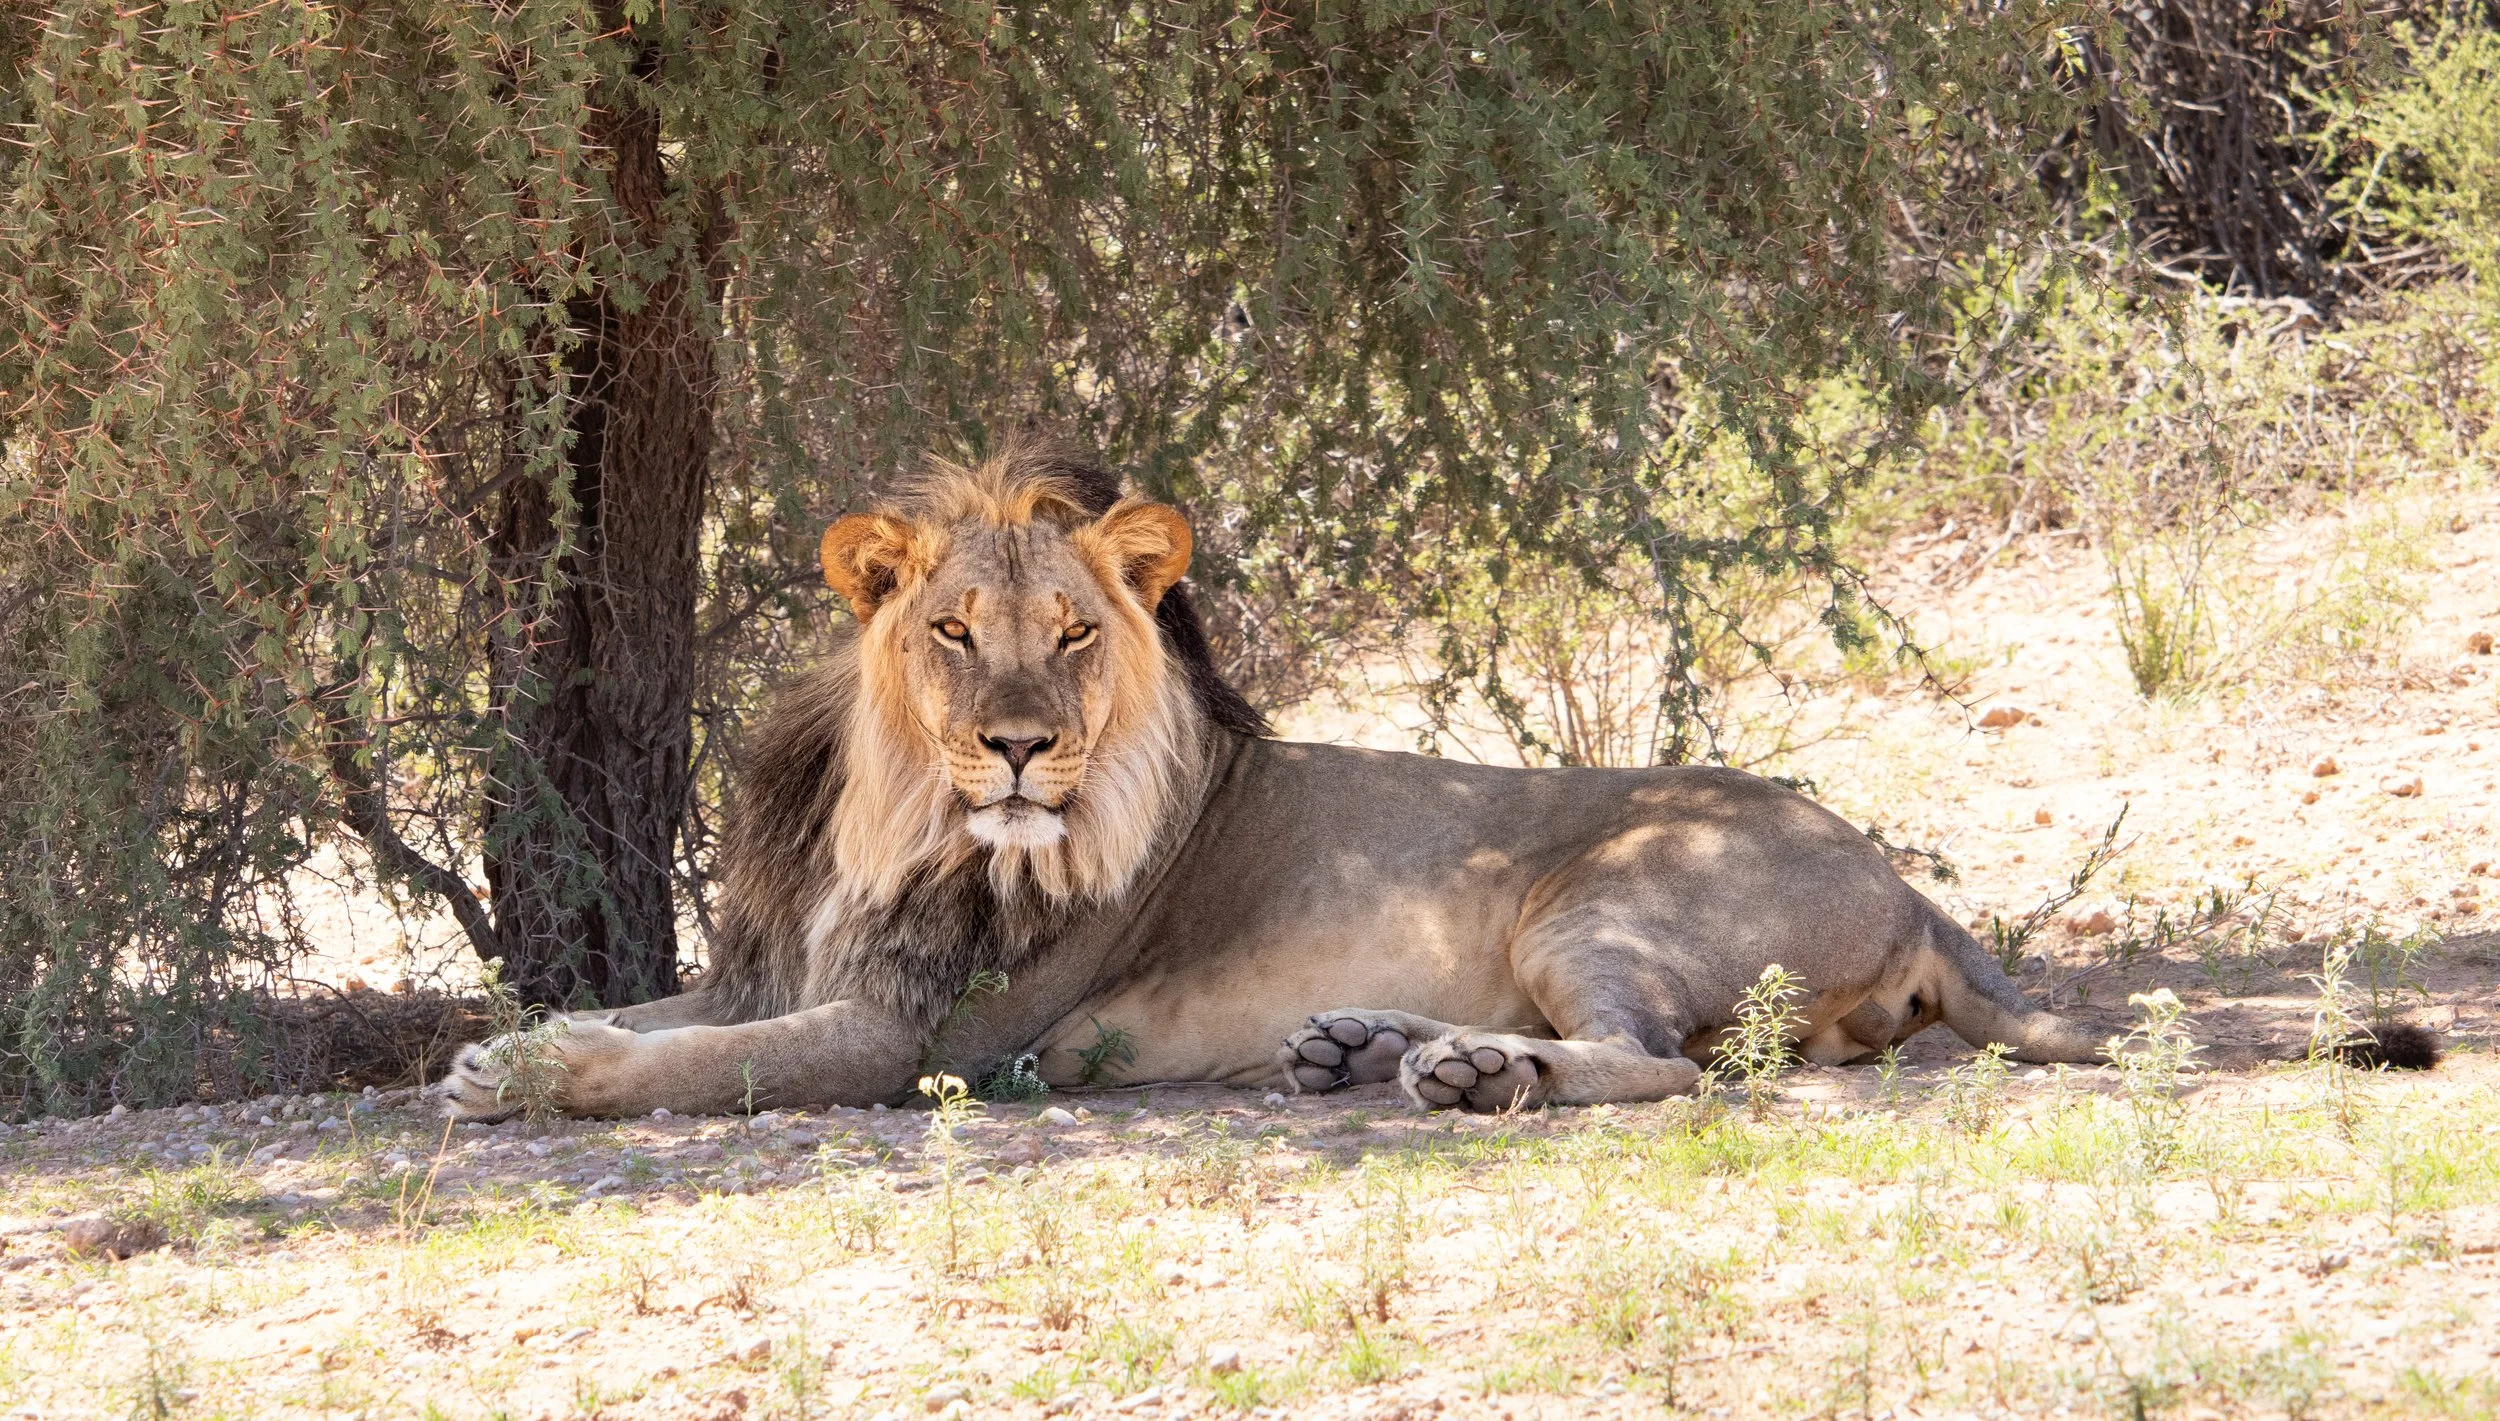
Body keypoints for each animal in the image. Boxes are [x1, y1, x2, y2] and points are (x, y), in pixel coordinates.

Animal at [436, 441, 2113, 1121]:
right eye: (955, 631)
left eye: (1073, 634)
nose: (1021, 746)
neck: (890, 810)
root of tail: (1907, 882)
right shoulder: (772, 968)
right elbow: (663, 1016)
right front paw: (506, 1045)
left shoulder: (916, 1036)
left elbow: (704, 1065)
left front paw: (532, 1076)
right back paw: (1374, 1048)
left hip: (1597, 898)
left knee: (1661, 1062)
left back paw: (1480, 1079)